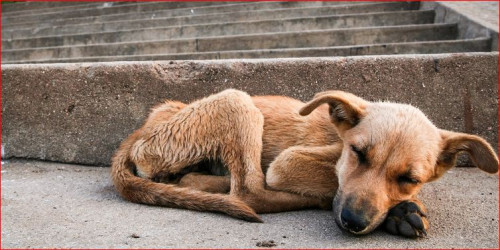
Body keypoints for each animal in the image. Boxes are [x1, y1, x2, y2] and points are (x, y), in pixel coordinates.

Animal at [111, 89, 498, 237]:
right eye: (358, 153)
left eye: (410, 178)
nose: (354, 222)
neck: (337, 137)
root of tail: (141, 130)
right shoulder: (287, 162)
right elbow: (331, 182)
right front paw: (399, 211)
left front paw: (402, 208)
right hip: (237, 100)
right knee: (250, 192)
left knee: (201, 181)